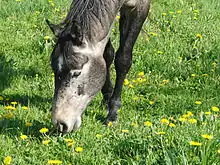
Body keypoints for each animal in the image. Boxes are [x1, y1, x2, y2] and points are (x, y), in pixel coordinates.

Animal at [46, 0, 151, 132]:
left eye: (77, 72)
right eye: (54, 70)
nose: (60, 124)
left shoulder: (140, 7)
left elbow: (123, 59)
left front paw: (113, 113)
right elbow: (107, 55)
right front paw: (107, 99)